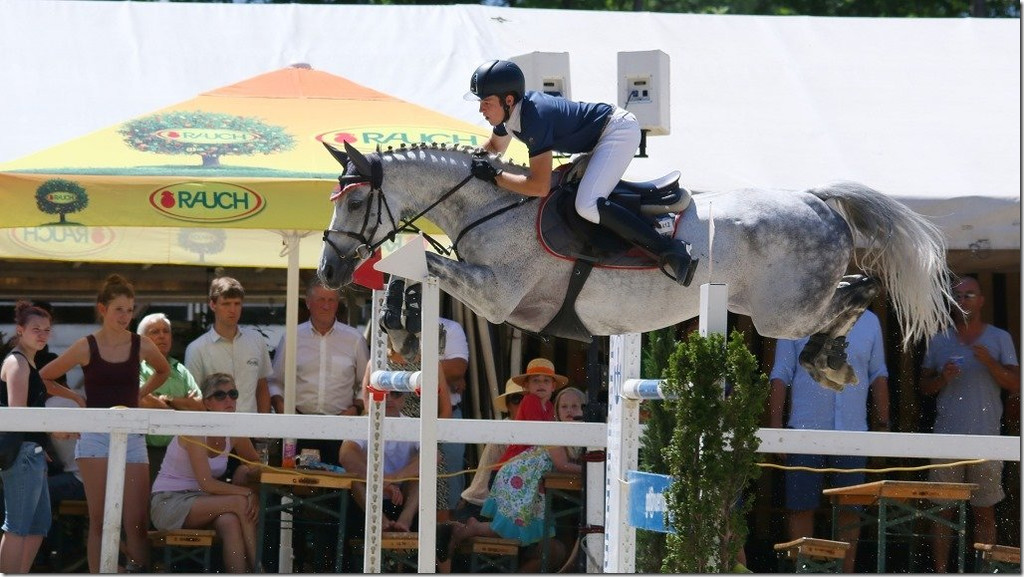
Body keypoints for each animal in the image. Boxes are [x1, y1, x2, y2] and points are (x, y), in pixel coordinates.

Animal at [318, 141, 954, 390]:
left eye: (353, 201)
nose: (327, 271)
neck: (488, 207)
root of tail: (816, 199)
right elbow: (411, 266)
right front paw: (399, 331)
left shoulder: (498, 297)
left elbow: (424, 261)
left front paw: (400, 327)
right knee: (855, 287)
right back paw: (833, 359)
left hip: (784, 314)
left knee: (858, 289)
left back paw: (828, 361)